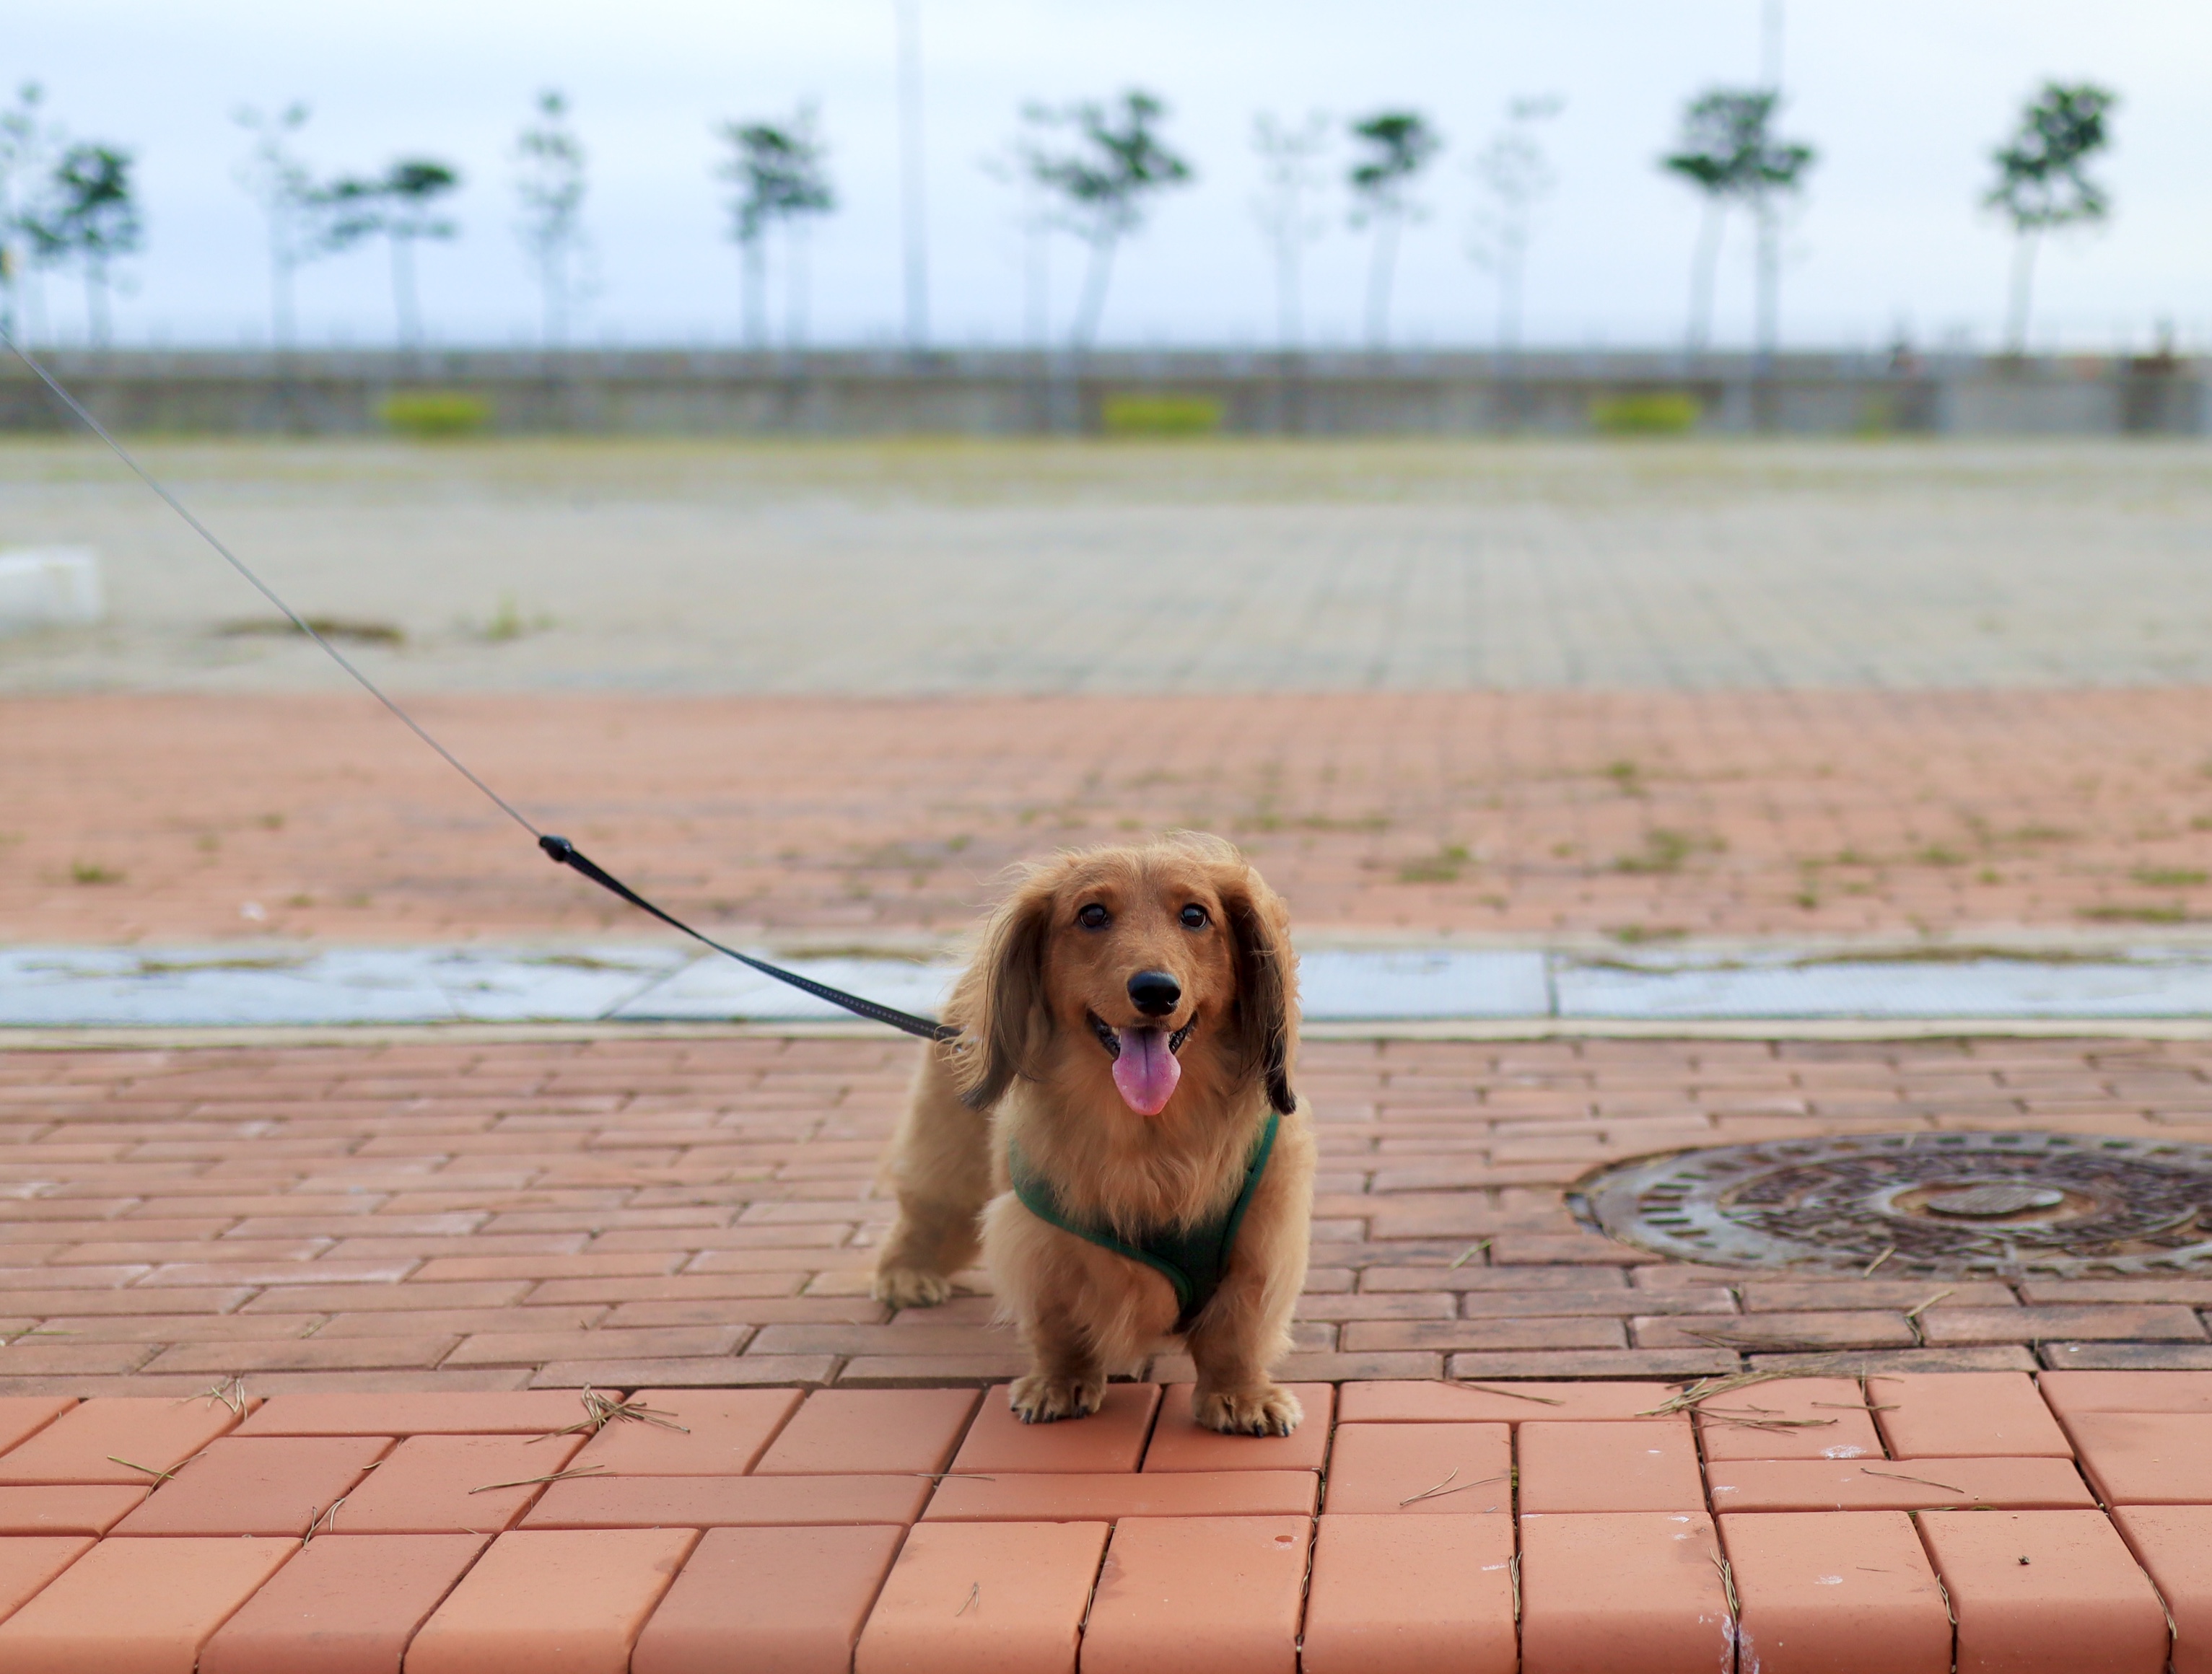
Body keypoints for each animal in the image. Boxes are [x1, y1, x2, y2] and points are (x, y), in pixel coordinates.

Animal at [871, 832, 1315, 1435]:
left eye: (1195, 915)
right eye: (1092, 914)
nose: (1155, 991)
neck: (1150, 1136)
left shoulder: (1263, 1231)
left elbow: (1235, 1331)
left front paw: (1240, 1394)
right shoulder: (1037, 1235)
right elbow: (1059, 1322)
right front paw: (1060, 1382)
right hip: (948, 1153)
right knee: (928, 1210)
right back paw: (907, 1274)